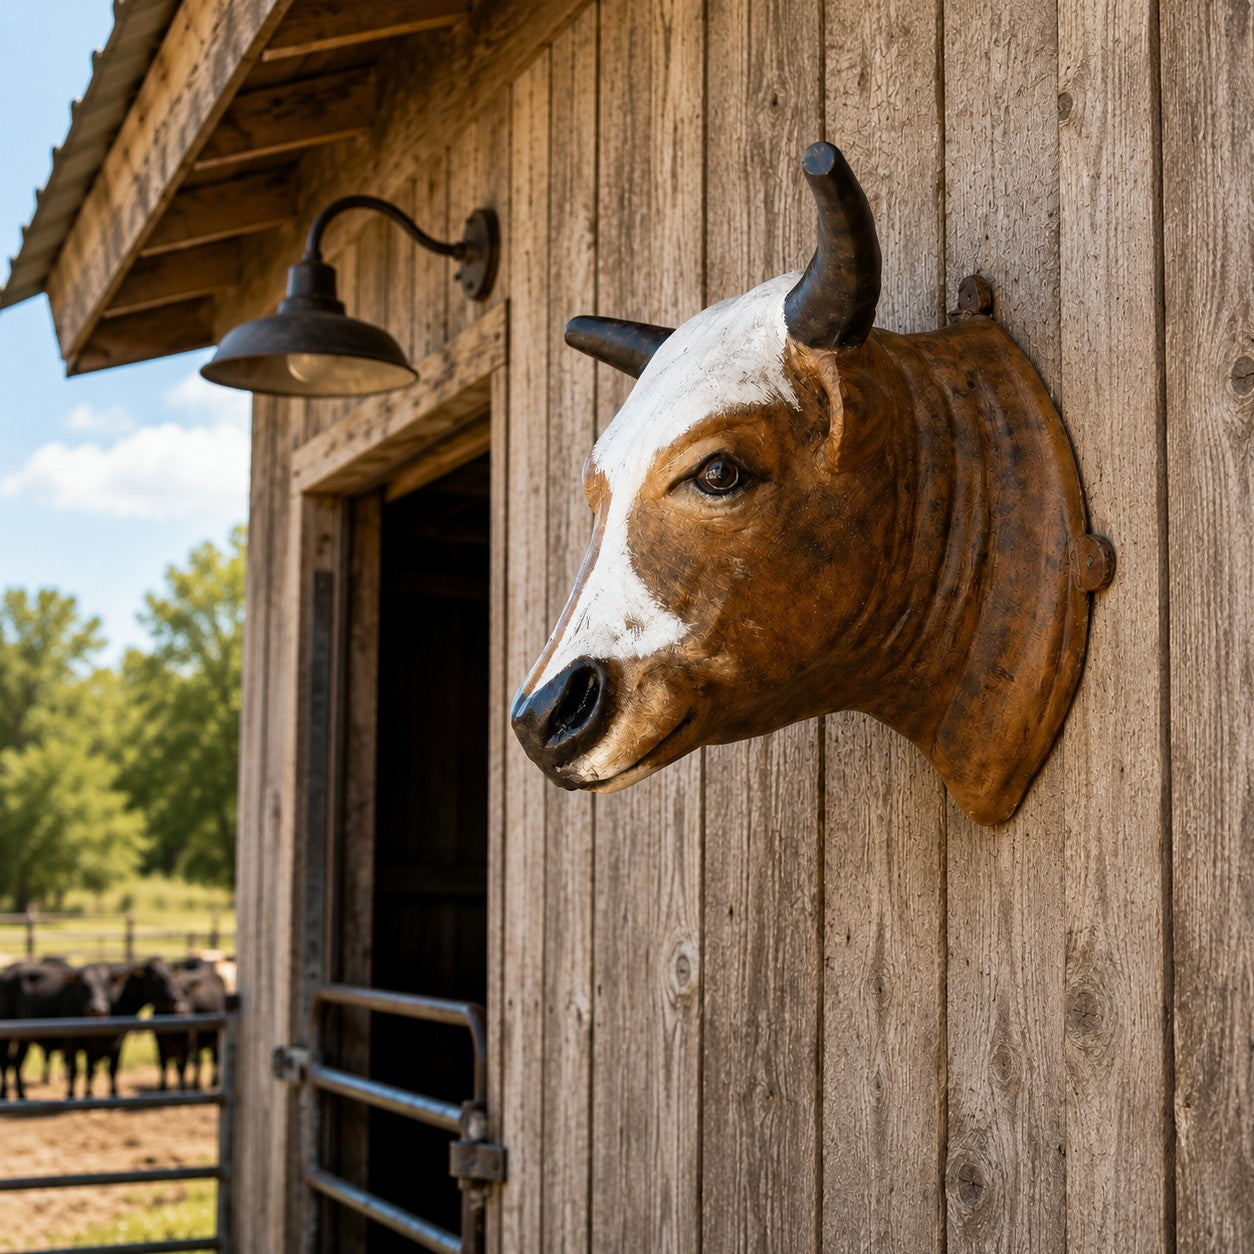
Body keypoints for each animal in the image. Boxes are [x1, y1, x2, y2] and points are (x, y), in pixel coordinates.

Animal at [0, 960, 112, 1100]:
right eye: (84, 986)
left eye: (106, 985)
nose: (97, 1009)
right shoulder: (71, 1040)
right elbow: (74, 1069)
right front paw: (70, 1095)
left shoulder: (90, 1046)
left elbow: (90, 1070)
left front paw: (88, 1095)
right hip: (7, 1037)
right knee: (5, 1061)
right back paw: (4, 1094)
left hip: (23, 1038)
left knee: (16, 1062)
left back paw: (22, 1095)